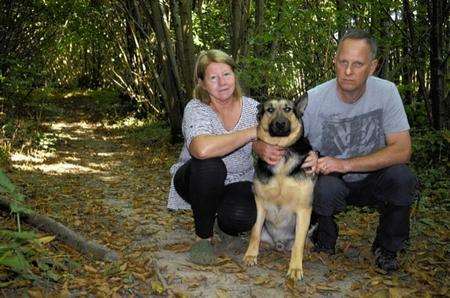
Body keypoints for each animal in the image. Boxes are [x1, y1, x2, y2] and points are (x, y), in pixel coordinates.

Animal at [243, 94, 316, 280]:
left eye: (287, 109)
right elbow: (255, 232)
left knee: (302, 241)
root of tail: (280, 243)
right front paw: (251, 255)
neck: (282, 151)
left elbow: (298, 243)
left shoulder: (304, 209)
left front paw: (296, 267)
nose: (281, 124)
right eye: (270, 110)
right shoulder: (259, 204)